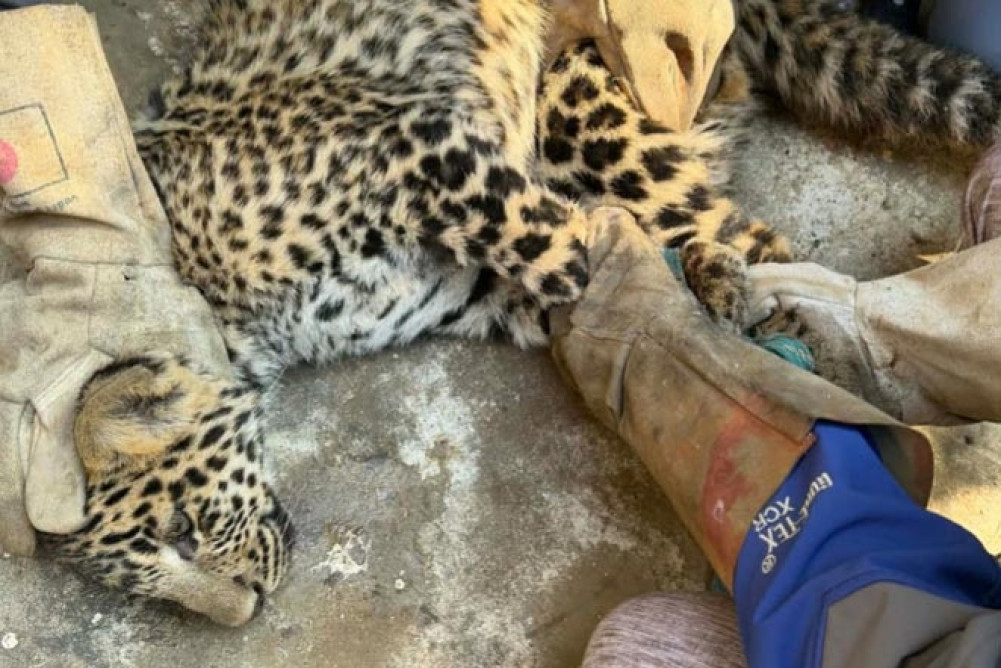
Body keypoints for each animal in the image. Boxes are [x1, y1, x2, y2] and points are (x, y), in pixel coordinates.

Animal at [42, 0, 1001, 624]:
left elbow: (561, 246)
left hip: (586, 103)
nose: (242, 614)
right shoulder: (461, 278)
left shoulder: (423, 153)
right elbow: (583, 288)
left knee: (739, 227)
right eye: (148, 581)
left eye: (184, 528)